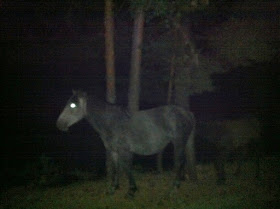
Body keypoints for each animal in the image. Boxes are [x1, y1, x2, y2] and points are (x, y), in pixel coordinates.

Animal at [56, 90, 197, 198]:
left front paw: (131, 191)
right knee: (182, 161)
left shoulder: (125, 150)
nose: (59, 124)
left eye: (73, 105)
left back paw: (173, 189)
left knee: (178, 162)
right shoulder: (114, 151)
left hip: (179, 142)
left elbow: (127, 168)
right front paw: (113, 188)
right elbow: (117, 168)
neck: (111, 122)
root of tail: (187, 113)